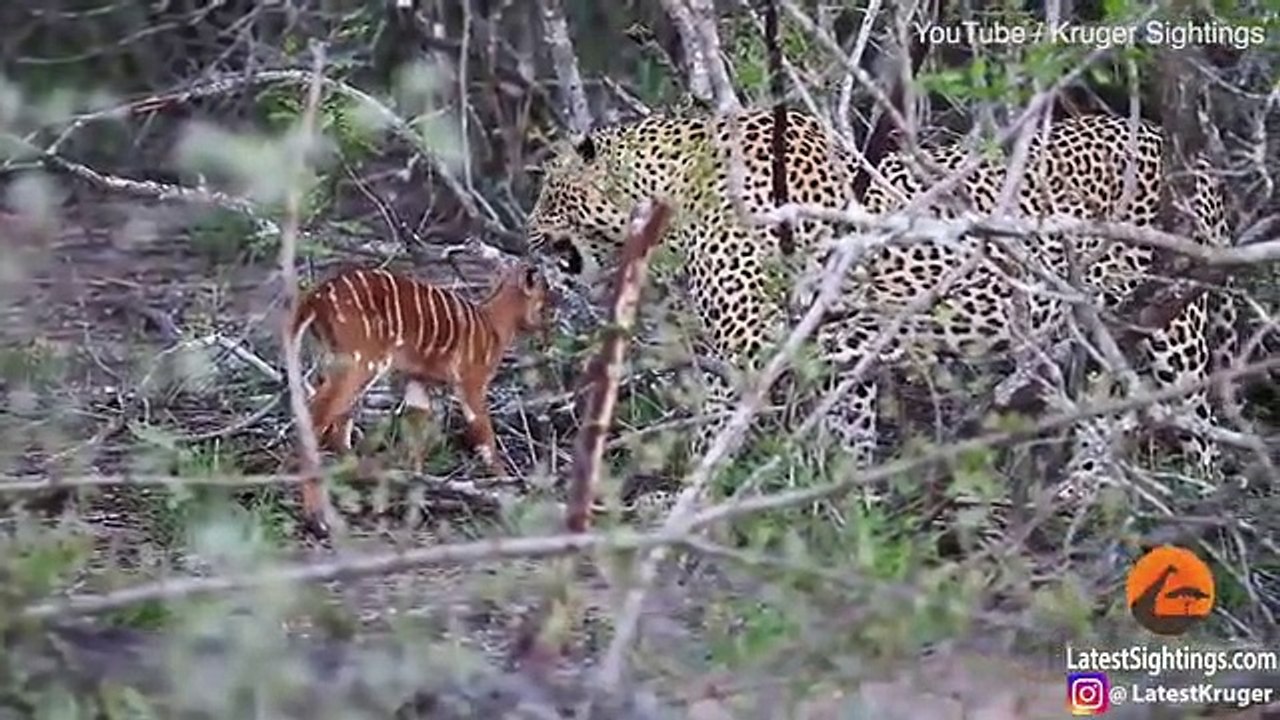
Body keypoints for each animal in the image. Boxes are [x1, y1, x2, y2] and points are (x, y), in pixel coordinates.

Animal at [290, 257, 550, 532]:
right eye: (545, 296)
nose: (546, 334)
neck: (493, 325)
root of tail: (315, 298)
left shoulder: (417, 381)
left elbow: (416, 434)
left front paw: (416, 498)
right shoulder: (471, 382)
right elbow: (484, 435)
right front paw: (507, 486)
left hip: (333, 360)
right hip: (361, 363)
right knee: (318, 418)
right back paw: (316, 517)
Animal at [522, 105, 1239, 509]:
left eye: (550, 192)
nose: (526, 236)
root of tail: (1187, 150)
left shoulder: (748, 345)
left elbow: (715, 429)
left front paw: (689, 499)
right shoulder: (839, 348)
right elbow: (849, 434)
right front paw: (851, 507)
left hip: (1173, 315)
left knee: (1196, 412)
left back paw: (1208, 500)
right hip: (1101, 324)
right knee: (1106, 406)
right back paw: (1086, 489)